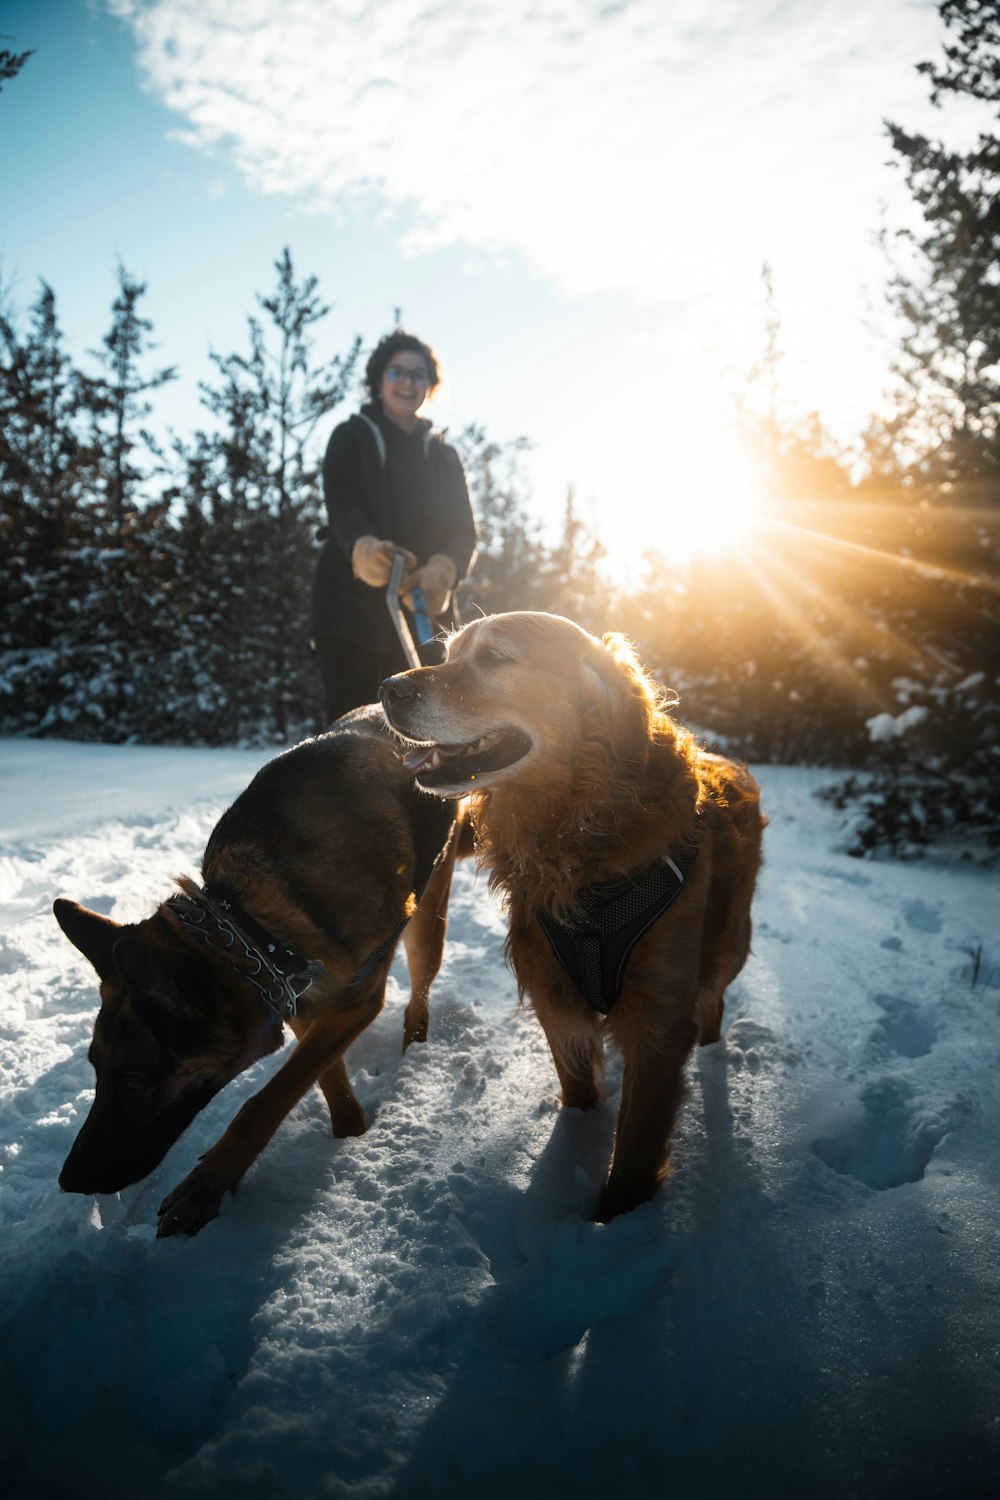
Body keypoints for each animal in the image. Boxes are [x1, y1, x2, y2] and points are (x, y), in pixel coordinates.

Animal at [53, 708, 461, 1236]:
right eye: (96, 1070)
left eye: (134, 1083)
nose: (69, 1180)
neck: (252, 926)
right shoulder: (299, 1002)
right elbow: (324, 1077)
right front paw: (348, 1132)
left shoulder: (358, 999)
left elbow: (267, 1099)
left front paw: (208, 1183)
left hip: (428, 918)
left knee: (422, 986)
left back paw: (415, 1041)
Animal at [379, 609, 761, 1218]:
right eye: (448, 654)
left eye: (496, 658)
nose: (388, 688)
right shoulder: (553, 991)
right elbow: (579, 1092)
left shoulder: (658, 1023)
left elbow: (633, 1154)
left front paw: (615, 1220)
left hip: (729, 945)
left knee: (714, 999)